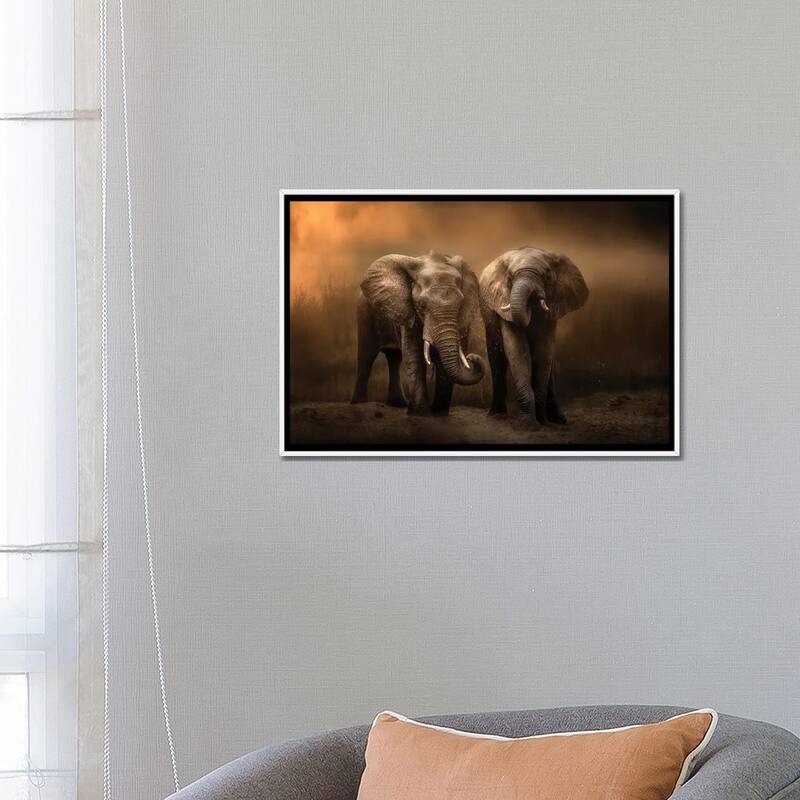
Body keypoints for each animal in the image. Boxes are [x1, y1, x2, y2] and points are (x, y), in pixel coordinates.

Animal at [350, 251, 485, 415]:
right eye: (421, 305)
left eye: (460, 305)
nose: (472, 358)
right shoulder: (408, 310)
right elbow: (414, 355)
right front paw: (420, 413)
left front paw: (439, 413)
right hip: (365, 314)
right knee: (367, 357)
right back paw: (359, 404)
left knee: (394, 358)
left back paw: (398, 404)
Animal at [479, 247, 589, 426]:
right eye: (509, 279)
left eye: (547, 277)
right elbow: (518, 351)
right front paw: (528, 424)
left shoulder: (552, 310)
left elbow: (543, 352)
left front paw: (542, 422)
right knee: (497, 358)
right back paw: (496, 415)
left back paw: (559, 420)